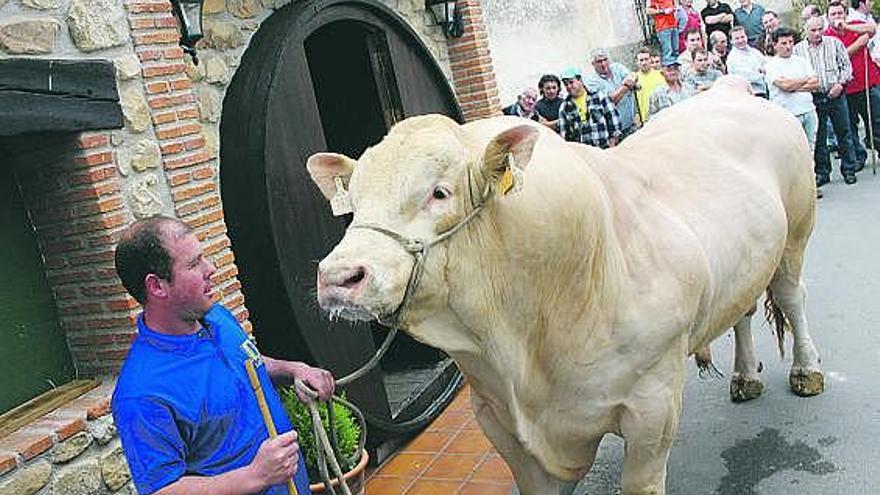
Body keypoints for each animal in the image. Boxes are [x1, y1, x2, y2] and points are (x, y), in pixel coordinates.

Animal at [306, 79, 820, 494]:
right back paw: (745, 377)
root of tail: (730, 88)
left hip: (796, 233)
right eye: (353, 202)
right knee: (743, 311)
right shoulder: (497, 419)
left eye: (439, 192)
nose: (339, 277)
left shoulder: (653, 406)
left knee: (793, 298)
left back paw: (807, 371)